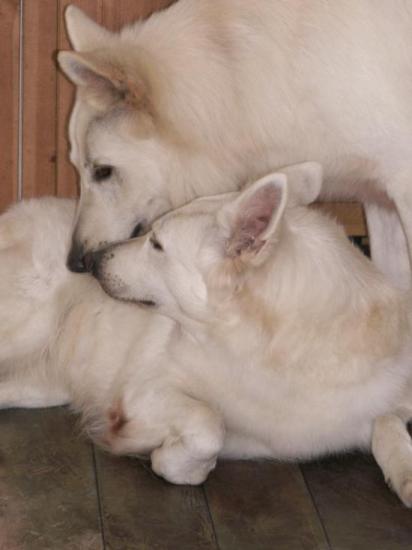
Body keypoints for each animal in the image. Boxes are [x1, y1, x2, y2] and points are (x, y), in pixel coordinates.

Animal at [1, 164, 410, 508]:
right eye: (149, 232)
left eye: (156, 243)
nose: (88, 262)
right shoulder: (144, 390)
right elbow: (210, 423)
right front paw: (172, 460)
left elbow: (387, 422)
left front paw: (404, 473)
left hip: (45, 384)